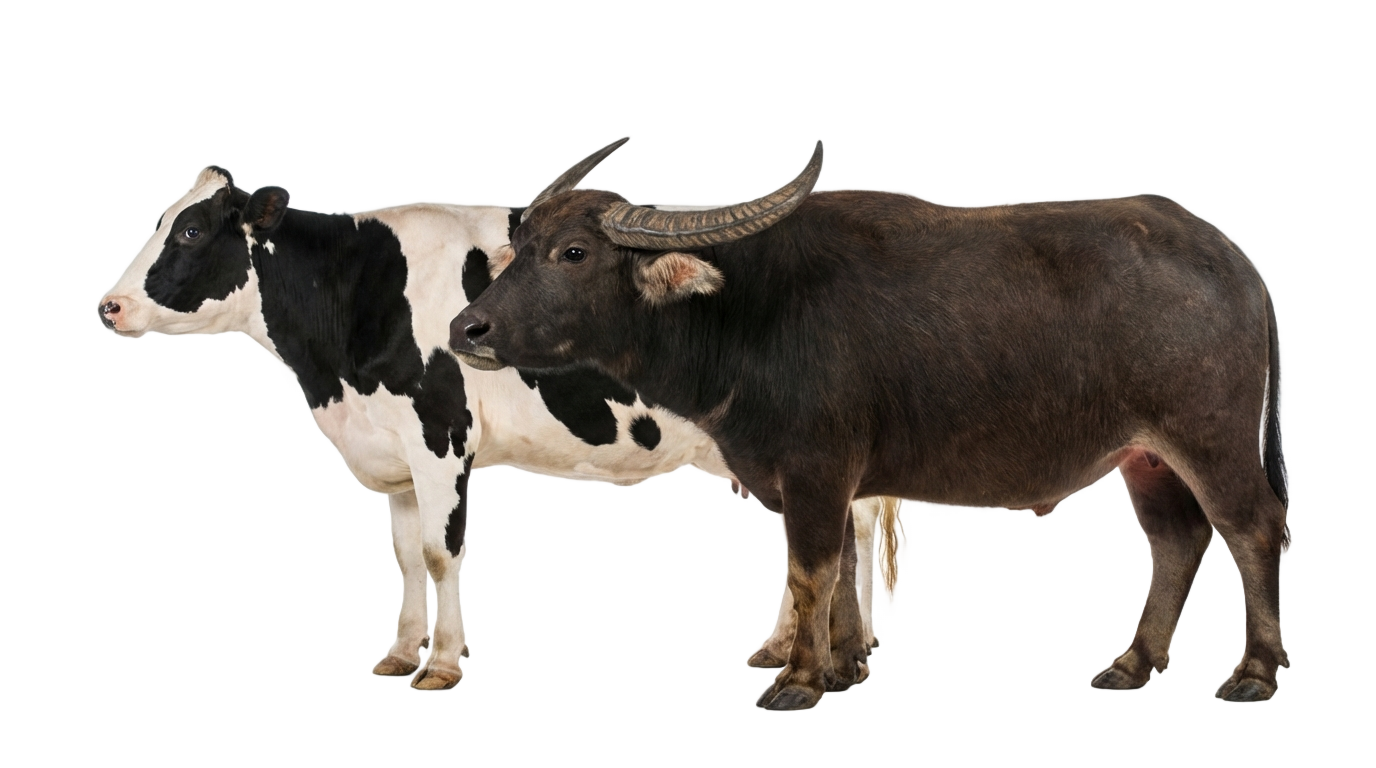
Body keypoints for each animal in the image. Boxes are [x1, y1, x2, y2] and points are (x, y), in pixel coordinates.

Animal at [96, 165, 898, 690]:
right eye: (157, 219)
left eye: (192, 228)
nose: (109, 306)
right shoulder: (392, 451)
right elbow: (403, 556)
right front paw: (400, 652)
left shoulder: (441, 436)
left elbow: (440, 553)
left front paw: (444, 664)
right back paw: (807, 652)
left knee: (826, 533)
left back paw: (823, 654)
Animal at [450, 139, 1289, 709]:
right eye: (516, 248)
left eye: (573, 252)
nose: (468, 329)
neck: (748, 313)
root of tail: (1235, 261)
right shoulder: (814, 476)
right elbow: (843, 562)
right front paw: (838, 656)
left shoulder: (816, 467)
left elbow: (810, 568)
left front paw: (799, 677)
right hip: (1148, 455)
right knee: (1179, 538)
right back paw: (1135, 664)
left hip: (1211, 437)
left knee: (1252, 529)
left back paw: (1255, 673)